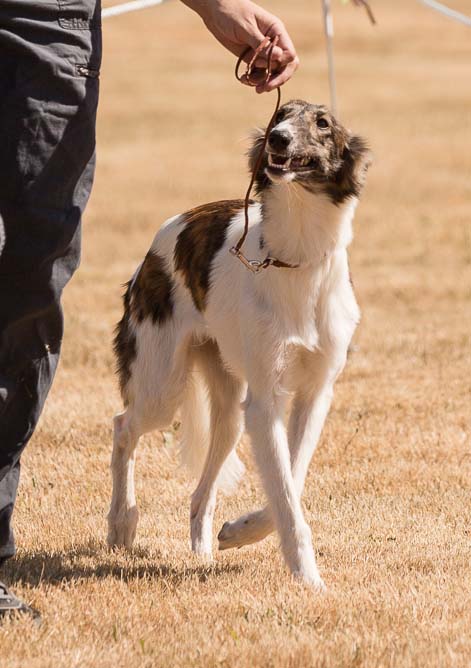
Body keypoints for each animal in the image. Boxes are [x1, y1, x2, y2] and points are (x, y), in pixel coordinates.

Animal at [107, 99, 371, 588]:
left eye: (323, 123)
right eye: (280, 116)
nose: (278, 139)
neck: (296, 259)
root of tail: (173, 224)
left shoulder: (314, 394)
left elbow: (292, 478)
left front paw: (241, 530)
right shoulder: (266, 400)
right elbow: (285, 494)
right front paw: (309, 579)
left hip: (229, 409)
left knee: (200, 492)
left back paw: (203, 553)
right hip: (162, 386)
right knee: (123, 427)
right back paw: (121, 523)